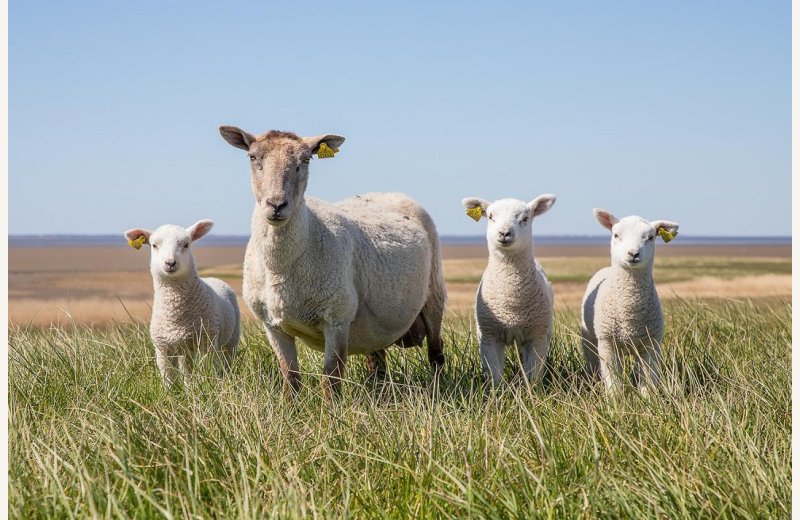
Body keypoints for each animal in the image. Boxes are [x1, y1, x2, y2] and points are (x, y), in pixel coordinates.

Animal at [124, 220, 240, 386]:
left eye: (186, 244)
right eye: (154, 245)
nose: (170, 263)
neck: (176, 314)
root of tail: (213, 277)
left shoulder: (206, 342)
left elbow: (206, 370)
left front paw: (206, 385)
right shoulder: (162, 348)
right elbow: (168, 378)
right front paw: (171, 392)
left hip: (231, 339)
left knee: (227, 360)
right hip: (185, 349)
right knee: (187, 369)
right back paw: (188, 386)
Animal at [218, 126, 446, 398]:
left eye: (306, 159)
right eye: (253, 157)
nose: (276, 205)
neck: (281, 267)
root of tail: (386, 193)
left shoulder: (337, 318)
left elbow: (331, 376)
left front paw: (332, 409)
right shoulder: (272, 325)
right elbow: (290, 376)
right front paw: (290, 406)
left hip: (434, 293)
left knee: (436, 353)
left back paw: (437, 390)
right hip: (374, 325)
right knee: (377, 361)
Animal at [461, 194, 556, 386]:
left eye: (525, 218)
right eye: (491, 216)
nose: (504, 233)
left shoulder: (537, 337)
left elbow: (533, 375)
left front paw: (532, 391)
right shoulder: (488, 337)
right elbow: (494, 376)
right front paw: (497, 392)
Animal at [580, 209, 679, 395]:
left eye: (650, 237)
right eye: (616, 235)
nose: (633, 254)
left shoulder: (651, 345)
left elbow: (648, 381)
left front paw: (648, 401)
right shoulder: (607, 344)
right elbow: (613, 383)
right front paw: (615, 401)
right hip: (589, 340)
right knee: (593, 364)